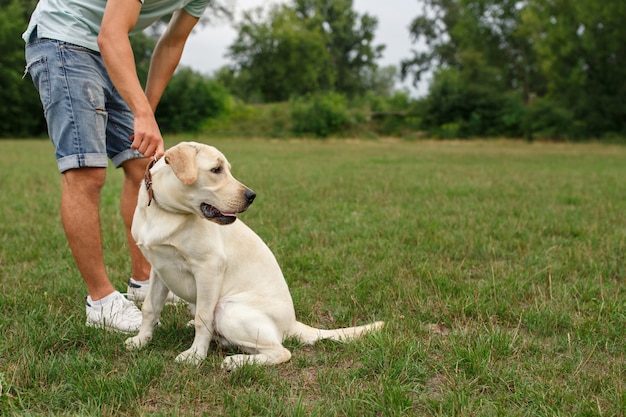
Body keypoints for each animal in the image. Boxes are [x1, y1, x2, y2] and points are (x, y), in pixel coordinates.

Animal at [125, 142, 382, 368]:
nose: (251, 196)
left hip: (227, 308)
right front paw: (141, 340)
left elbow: (202, 317)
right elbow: (150, 308)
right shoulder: (159, 269)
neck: (165, 212)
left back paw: (237, 362)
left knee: (281, 351)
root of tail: (292, 324)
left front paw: (195, 355)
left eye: (226, 169)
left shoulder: (209, 268)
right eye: (216, 170)